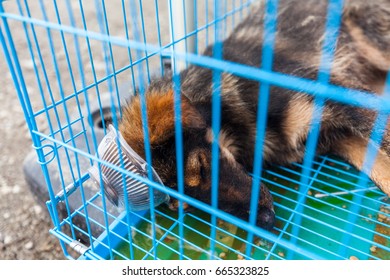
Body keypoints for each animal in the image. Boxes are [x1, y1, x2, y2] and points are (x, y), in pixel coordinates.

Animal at [118, 0, 390, 230]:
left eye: (202, 166)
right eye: (185, 206)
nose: (267, 221)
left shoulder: (348, 100)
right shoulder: (340, 138)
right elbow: (381, 169)